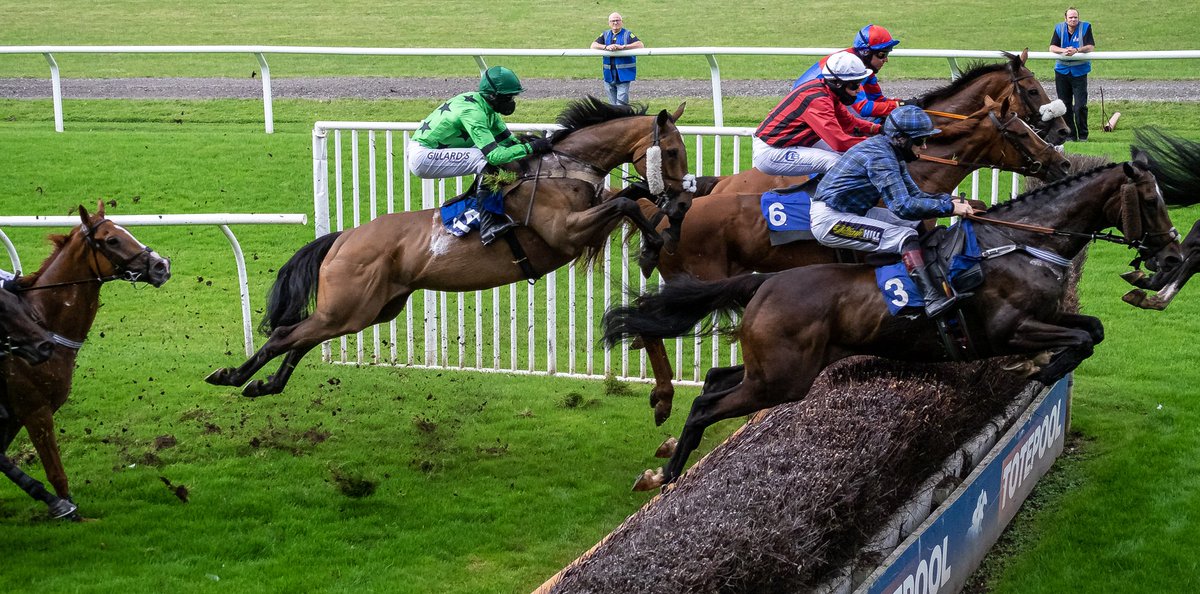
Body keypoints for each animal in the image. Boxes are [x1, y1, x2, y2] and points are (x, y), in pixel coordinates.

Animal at [1, 204, 171, 520]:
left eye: (126, 230)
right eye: (112, 240)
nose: (161, 265)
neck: (41, 323)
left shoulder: (13, 416)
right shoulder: (34, 410)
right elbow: (56, 472)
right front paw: (67, 509)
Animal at [206, 99, 696, 400]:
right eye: (672, 151)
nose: (682, 198)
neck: (563, 170)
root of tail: (343, 237)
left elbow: (632, 199)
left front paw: (662, 237)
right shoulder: (565, 233)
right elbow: (626, 203)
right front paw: (653, 248)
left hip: (368, 310)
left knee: (303, 338)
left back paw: (264, 385)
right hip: (350, 306)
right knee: (287, 336)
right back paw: (232, 375)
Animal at [604, 147, 1185, 487]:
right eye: (1153, 201)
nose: (1174, 258)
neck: (1017, 244)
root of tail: (762, 283)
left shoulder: (1044, 318)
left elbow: (1093, 330)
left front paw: (1045, 366)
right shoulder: (1010, 329)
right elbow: (1080, 340)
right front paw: (1038, 369)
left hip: (773, 368)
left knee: (712, 380)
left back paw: (670, 460)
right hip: (782, 379)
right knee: (707, 403)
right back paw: (669, 471)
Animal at [638, 95, 1070, 424]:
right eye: (1020, 130)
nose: (1063, 160)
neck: (915, 168)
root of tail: (670, 213)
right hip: (699, 274)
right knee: (651, 318)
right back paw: (663, 399)